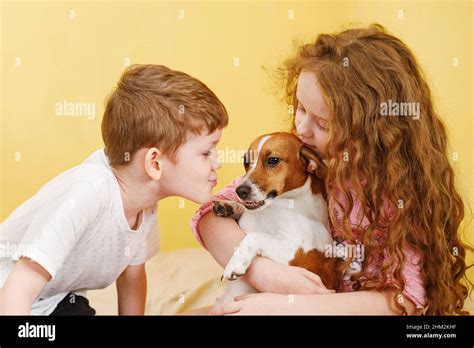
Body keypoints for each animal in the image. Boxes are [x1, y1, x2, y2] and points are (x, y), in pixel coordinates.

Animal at [212, 132, 340, 304]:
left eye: (273, 160)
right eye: (246, 161)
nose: (239, 191)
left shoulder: (294, 252)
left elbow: (254, 236)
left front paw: (235, 263)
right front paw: (229, 206)